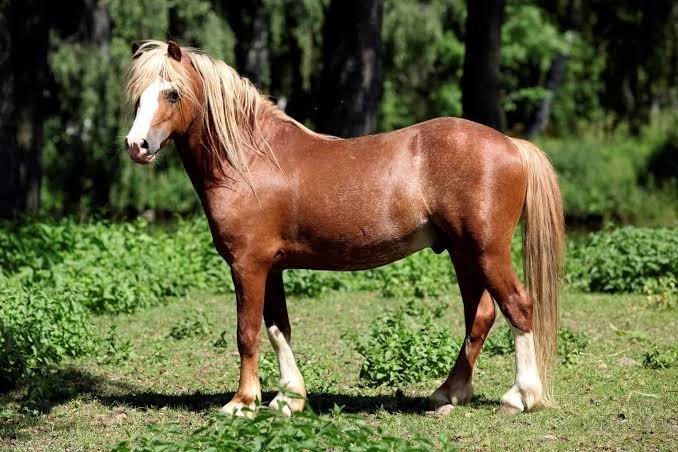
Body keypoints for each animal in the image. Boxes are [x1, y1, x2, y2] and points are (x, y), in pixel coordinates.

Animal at [123, 40, 564, 417]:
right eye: (139, 96)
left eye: (172, 93)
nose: (136, 146)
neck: (250, 159)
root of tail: (511, 144)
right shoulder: (273, 267)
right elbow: (278, 328)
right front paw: (288, 400)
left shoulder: (248, 265)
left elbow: (246, 332)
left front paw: (242, 403)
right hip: (463, 253)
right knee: (481, 315)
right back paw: (448, 394)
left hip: (487, 250)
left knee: (518, 307)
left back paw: (521, 396)